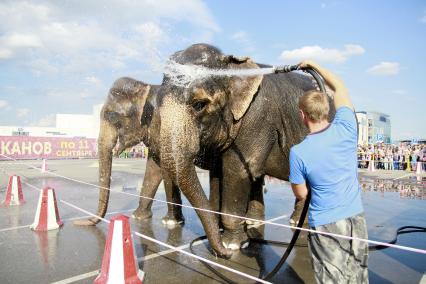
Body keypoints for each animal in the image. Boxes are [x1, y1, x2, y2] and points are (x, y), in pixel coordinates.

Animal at [157, 43, 332, 258]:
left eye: (199, 104)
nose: (222, 254)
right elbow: (218, 173)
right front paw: (222, 235)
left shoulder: (257, 116)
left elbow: (238, 171)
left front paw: (232, 245)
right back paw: (261, 223)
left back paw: (297, 224)